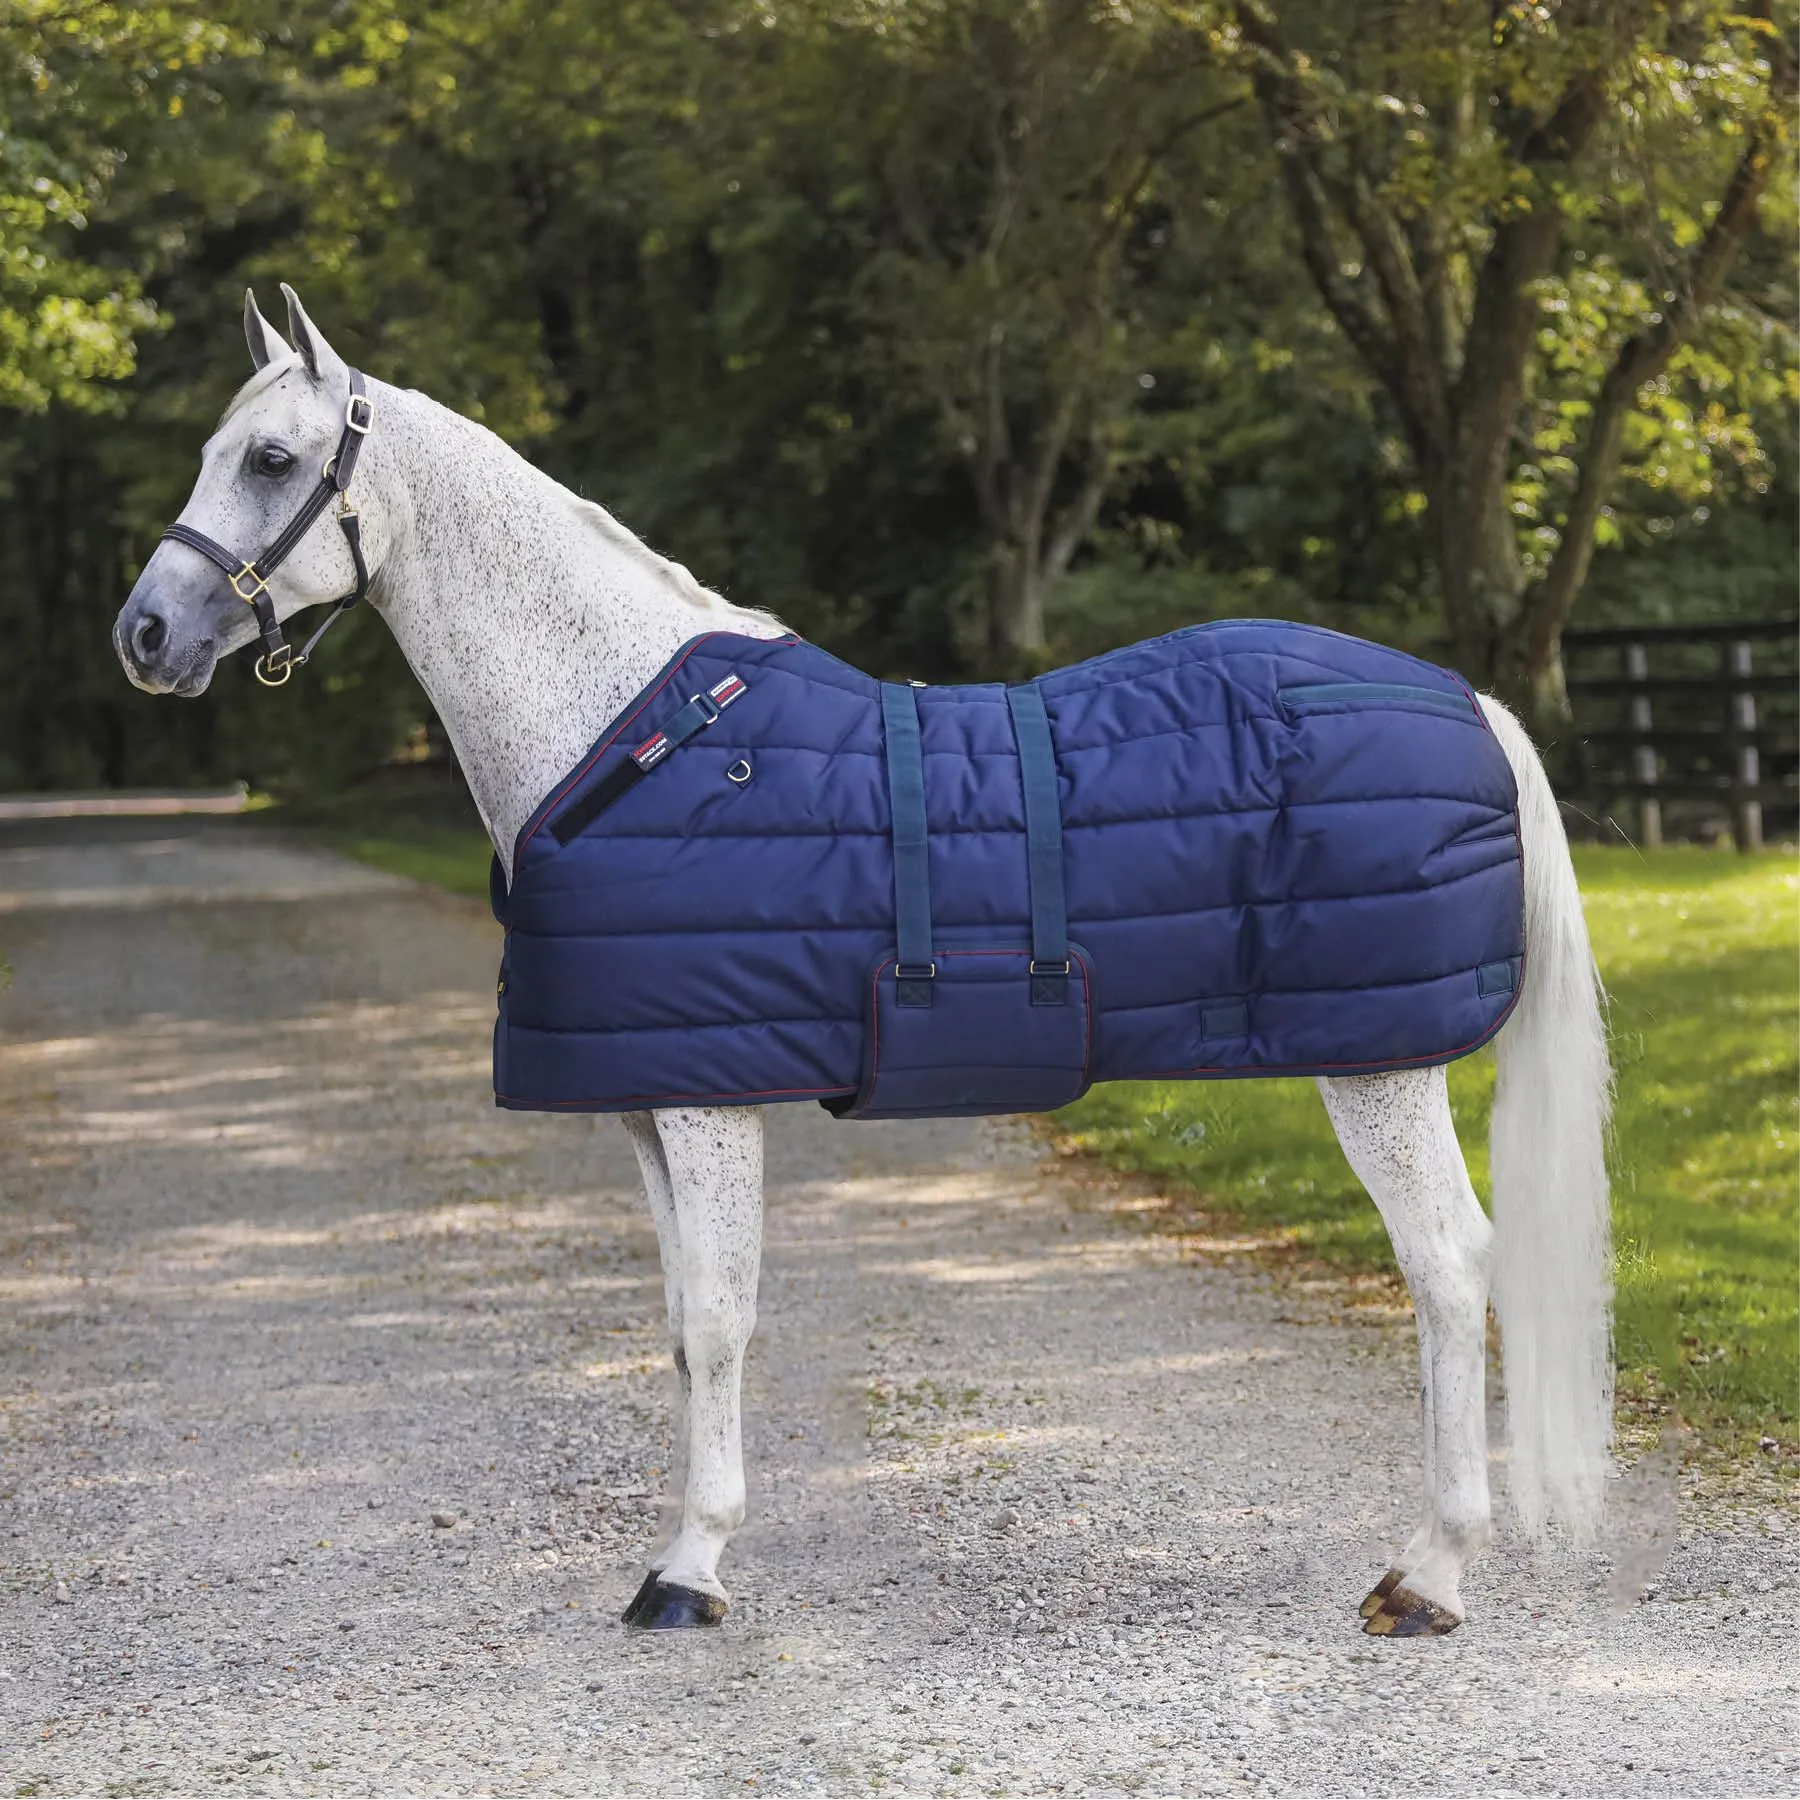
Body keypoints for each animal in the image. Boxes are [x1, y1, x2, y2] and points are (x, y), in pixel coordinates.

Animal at [112, 285, 1613, 1638]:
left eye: (271, 460)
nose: (145, 637)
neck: (633, 739)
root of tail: (1468, 698)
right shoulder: (647, 1112)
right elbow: (677, 1326)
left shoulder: (712, 1106)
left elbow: (721, 1321)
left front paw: (689, 1572)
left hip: (1380, 1066)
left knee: (1449, 1269)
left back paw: (1430, 1574)